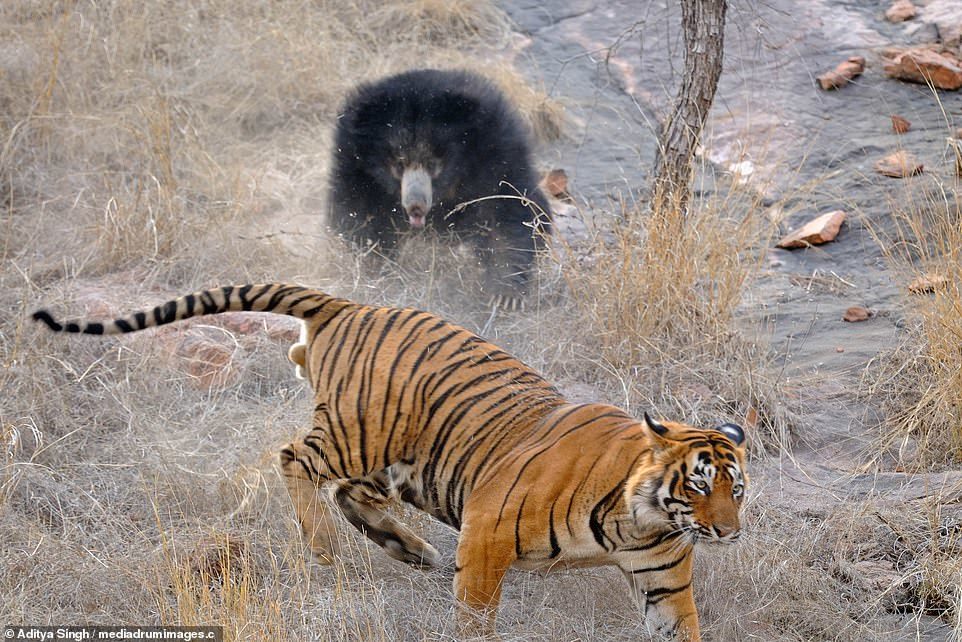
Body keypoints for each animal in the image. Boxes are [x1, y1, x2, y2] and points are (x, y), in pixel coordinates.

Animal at [31, 282, 744, 636]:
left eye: (736, 489)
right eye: (699, 484)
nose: (731, 532)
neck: (640, 519)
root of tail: (350, 304)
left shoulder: (662, 580)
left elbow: (681, 629)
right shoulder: (486, 536)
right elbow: (474, 618)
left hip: (405, 460)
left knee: (351, 491)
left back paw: (411, 549)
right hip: (362, 431)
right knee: (294, 458)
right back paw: (325, 546)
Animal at [328, 69, 548, 308]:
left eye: (433, 164)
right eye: (398, 164)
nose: (415, 206)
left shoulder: (498, 154)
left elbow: (507, 212)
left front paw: (504, 296)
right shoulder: (355, 166)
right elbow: (357, 214)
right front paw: (375, 266)